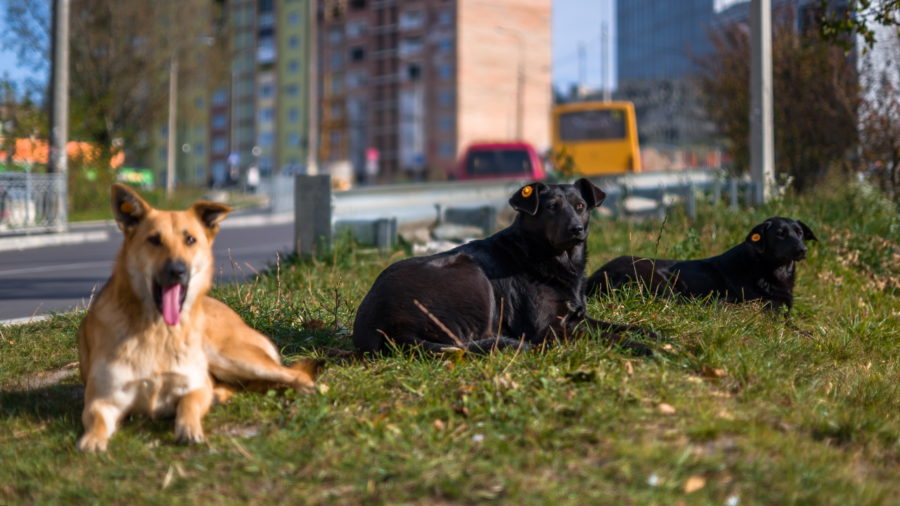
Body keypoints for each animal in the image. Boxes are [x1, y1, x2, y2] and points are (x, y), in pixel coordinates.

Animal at [75, 184, 318, 452]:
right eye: (154, 240)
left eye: (190, 239)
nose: (178, 270)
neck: (158, 331)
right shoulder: (103, 400)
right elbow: (96, 419)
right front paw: (92, 440)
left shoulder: (195, 386)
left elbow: (188, 404)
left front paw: (189, 429)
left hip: (230, 356)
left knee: (290, 374)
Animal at [356, 178, 656, 356]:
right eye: (552, 207)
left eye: (581, 206)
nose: (576, 229)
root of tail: (381, 324)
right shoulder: (547, 329)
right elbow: (607, 337)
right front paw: (643, 348)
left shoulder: (576, 318)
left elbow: (618, 327)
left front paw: (654, 334)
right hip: (473, 277)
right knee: (469, 342)